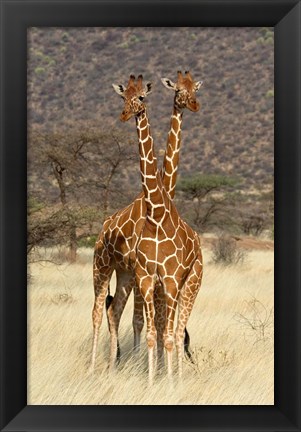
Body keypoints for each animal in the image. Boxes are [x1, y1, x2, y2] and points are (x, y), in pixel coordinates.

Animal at [89, 72, 202, 372]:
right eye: (178, 91)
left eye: (194, 89)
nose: (194, 105)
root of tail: (103, 228)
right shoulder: (146, 274)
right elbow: (144, 321)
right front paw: (145, 365)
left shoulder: (155, 277)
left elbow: (159, 323)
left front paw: (156, 366)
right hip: (102, 266)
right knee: (98, 311)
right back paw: (96, 367)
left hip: (123, 273)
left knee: (113, 310)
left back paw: (113, 364)